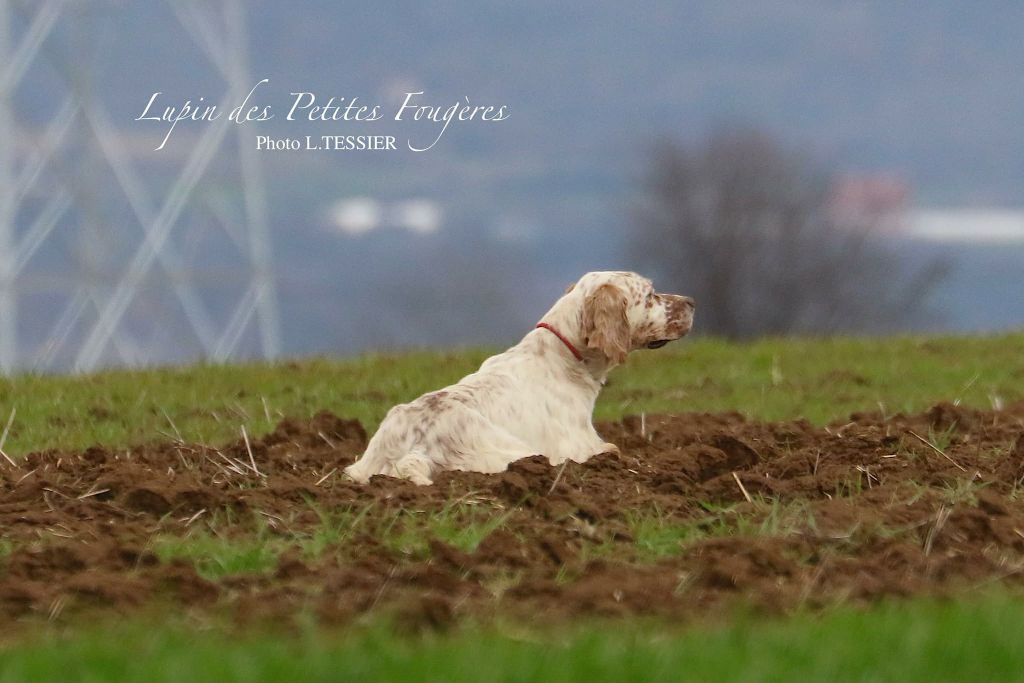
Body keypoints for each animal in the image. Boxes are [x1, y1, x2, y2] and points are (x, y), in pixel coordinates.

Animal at [346, 272, 696, 485]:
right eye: (650, 296)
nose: (692, 302)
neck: (564, 356)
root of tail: (409, 448)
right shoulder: (579, 449)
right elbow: (614, 450)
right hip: (516, 453)